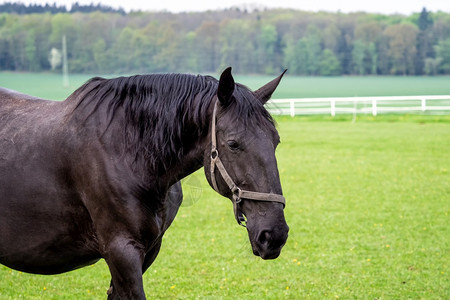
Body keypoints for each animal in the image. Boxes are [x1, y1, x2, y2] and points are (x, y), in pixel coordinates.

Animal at [0, 67, 288, 298]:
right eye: (233, 143)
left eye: (276, 141)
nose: (274, 235)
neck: (127, 151)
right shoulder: (122, 252)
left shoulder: (148, 251)